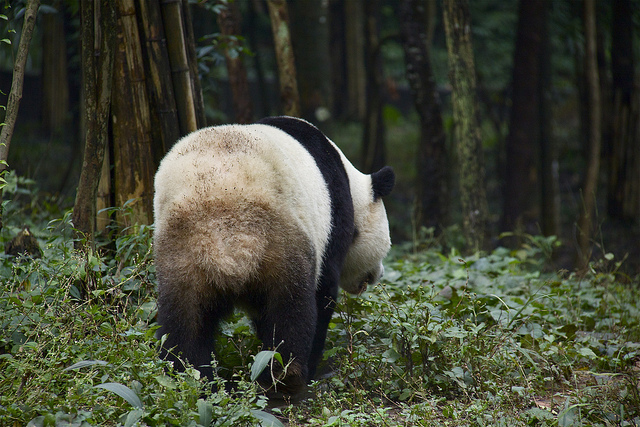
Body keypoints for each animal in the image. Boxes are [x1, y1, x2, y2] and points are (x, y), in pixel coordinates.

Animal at [155, 114, 396, 394]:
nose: (378, 274)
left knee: (183, 324)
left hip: (184, 252)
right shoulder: (333, 223)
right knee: (290, 312)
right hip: (280, 241)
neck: (351, 182)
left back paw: (188, 380)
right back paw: (286, 377)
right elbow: (324, 292)